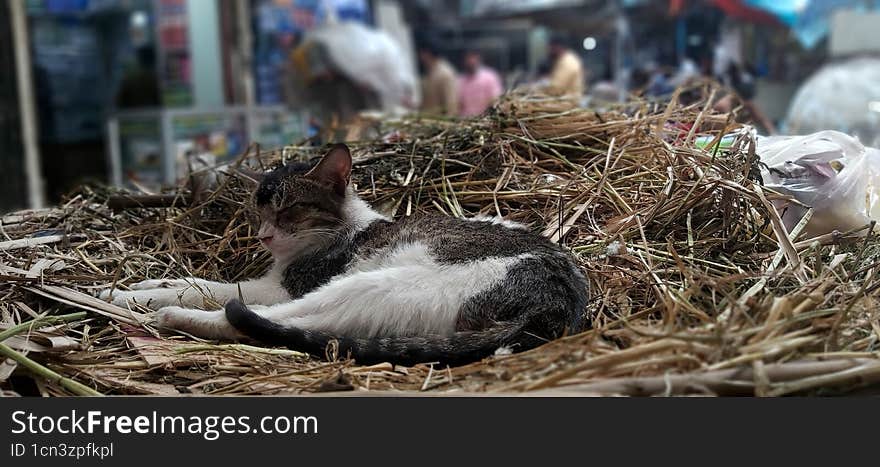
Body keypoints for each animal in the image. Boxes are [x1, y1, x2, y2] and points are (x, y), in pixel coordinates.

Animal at [99, 144, 588, 368]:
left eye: (288, 210)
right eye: (258, 211)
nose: (263, 236)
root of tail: (553, 307)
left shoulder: (284, 285)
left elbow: (210, 288)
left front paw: (132, 296)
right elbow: (193, 283)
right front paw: (142, 285)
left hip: (368, 285)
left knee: (270, 321)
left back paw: (173, 318)